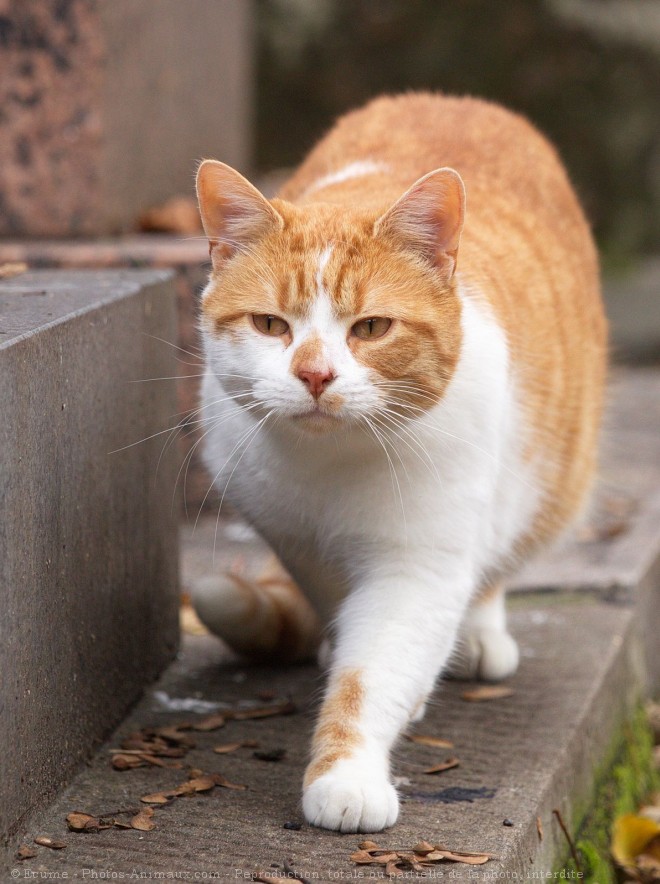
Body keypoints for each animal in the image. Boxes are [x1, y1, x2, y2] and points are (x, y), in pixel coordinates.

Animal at [188, 93, 604, 832]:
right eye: (271, 325)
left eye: (372, 328)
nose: (315, 374)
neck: (331, 467)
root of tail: (459, 100)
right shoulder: (290, 533)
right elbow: (340, 612)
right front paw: (343, 654)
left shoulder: (421, 565)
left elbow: (373, 669)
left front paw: (348, 774)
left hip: (549, 481)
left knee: (495, 563)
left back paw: (477, 636)